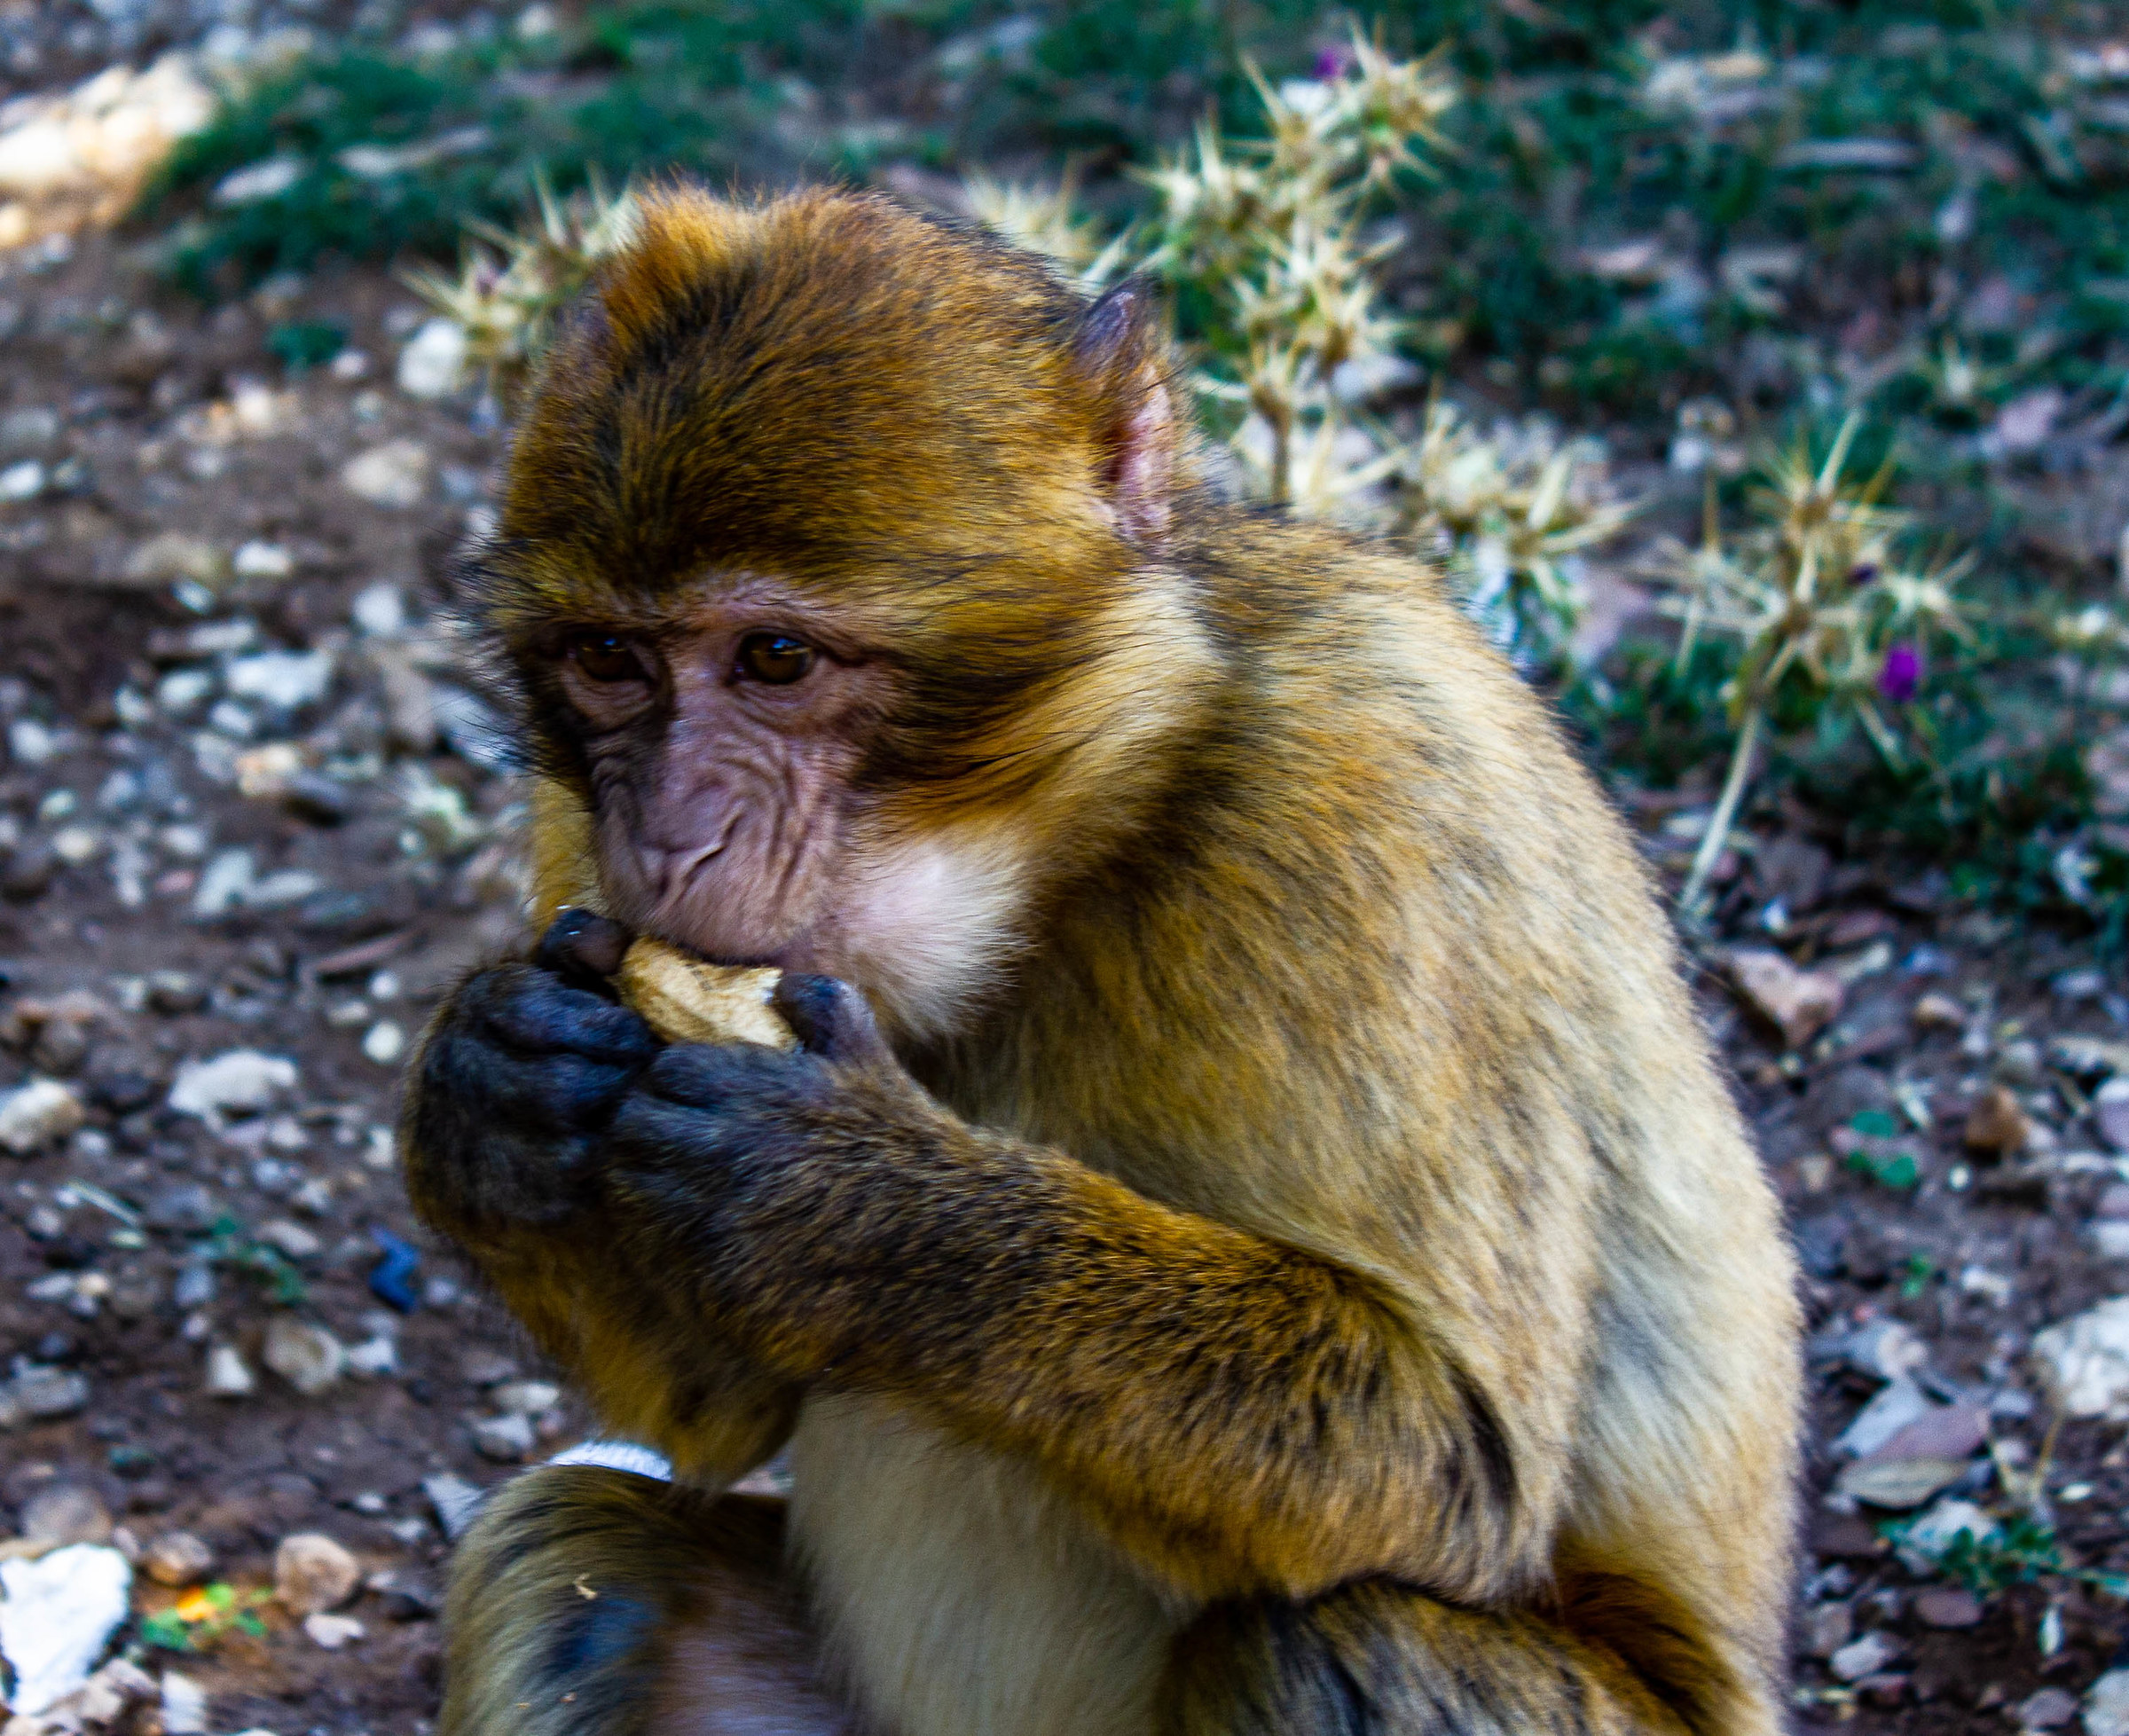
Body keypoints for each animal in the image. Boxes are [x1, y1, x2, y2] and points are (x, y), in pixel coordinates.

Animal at [400, 184, 1801, 1736]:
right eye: (610, 663)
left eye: (772, 658)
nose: (666, 831)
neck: (1075, 854)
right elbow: (722, 1406)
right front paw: (490, 1092)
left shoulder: (1369, 787)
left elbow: (1456, 1461)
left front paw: (857, 1206)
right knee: (562, 1549)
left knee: (1343, 1640)